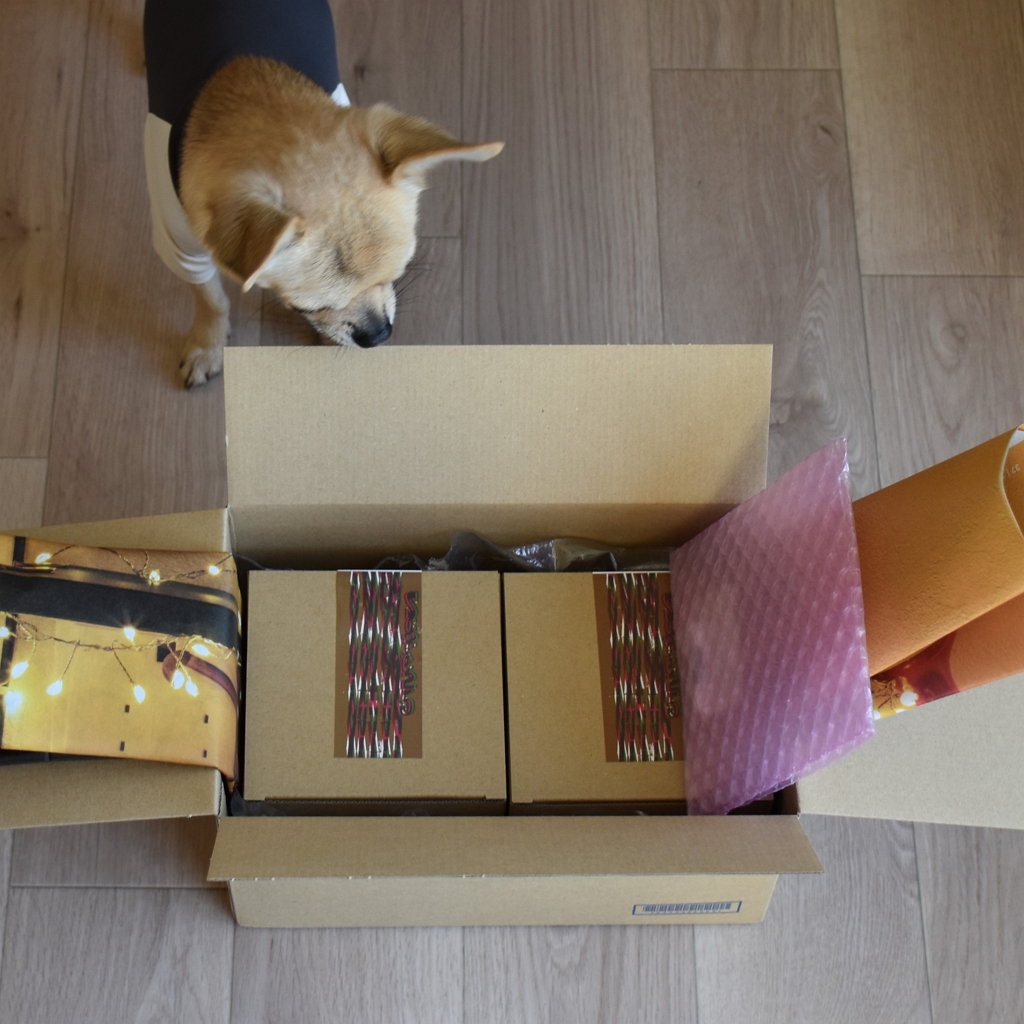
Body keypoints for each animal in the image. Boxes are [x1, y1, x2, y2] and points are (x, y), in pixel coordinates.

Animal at [143, 0, 502, 388]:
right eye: (307, 308)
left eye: (398, 274)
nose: (378, 335)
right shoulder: (182, 249)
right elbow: (211, 298)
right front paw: (207, 345)